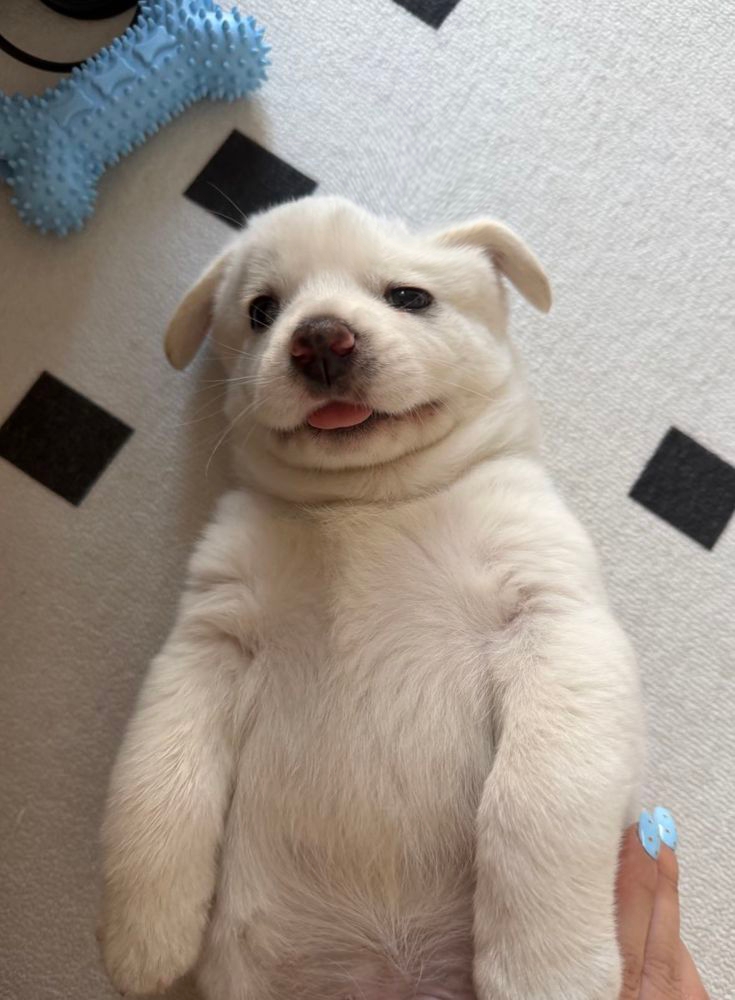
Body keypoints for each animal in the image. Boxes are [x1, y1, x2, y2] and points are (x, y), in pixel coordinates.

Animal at [100, 195, 643, 1000]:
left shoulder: (555, 621)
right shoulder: (207, 642)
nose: (321, 337)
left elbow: (534, 800)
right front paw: (143, 938)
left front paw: (545, 966)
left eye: (409, 296)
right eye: (263, 310)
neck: (369, 499)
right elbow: (155, 783)